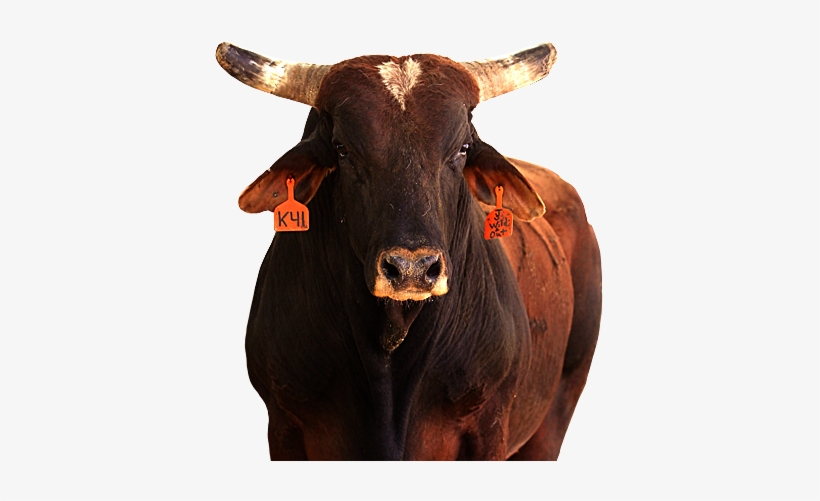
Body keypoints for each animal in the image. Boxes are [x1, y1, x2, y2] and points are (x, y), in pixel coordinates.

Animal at [216, 41, 602, 460]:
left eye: (462, 148)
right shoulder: (284, 425)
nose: (412, 269)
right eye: (342, 149)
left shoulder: (490, 427)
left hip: (558, 408)